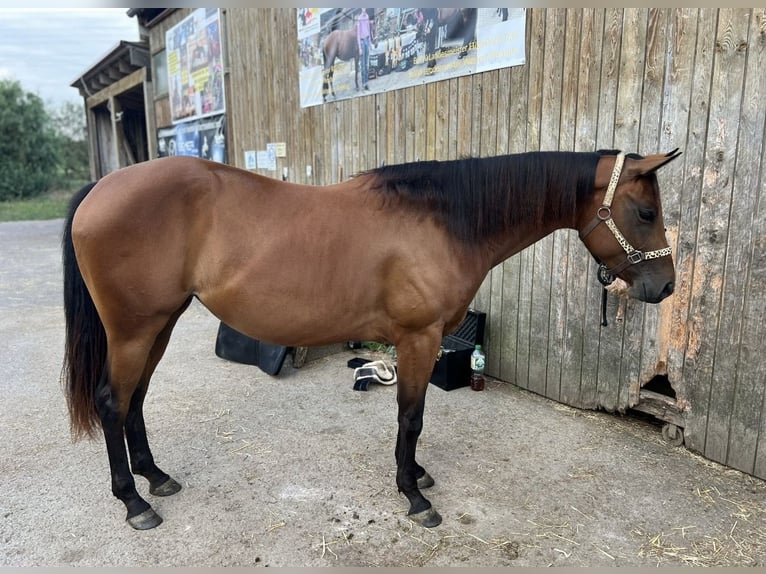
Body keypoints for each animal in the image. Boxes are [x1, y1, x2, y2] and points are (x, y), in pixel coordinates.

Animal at [62, 149, 680, 530]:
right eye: (646, 211)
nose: (666, 285)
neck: (446, 219)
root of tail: (100, 188)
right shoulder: (418, 339)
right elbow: (411, 417)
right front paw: (414, 494)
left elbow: (414, 416)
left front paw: (418, 475)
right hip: (133, 329)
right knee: (112, 402)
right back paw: (134, 501)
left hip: (158, 325)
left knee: (135, 401)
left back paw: (156, 478)